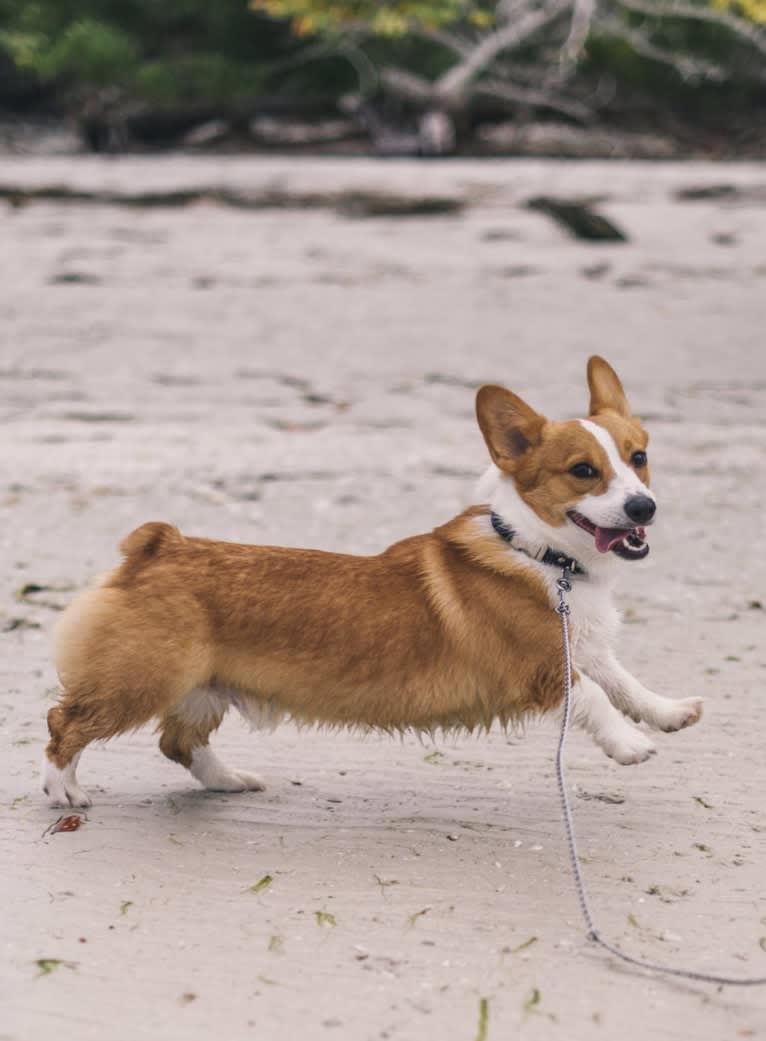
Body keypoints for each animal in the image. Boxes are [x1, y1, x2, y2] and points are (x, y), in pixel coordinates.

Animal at [40, 362, 699, 807]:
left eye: (638, 458)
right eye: (583, 471)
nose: (644, 508)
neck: (539, 553)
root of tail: (156, 545)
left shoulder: (583, 647)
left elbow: (625, 683)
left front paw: (668, 714)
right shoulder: (541, 668)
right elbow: (593, 697)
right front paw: (630, 746)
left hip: (202, 688)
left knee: (178, 743)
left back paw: (230, 781)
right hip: (143, 680)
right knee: (63, 724)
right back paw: (64, 791)